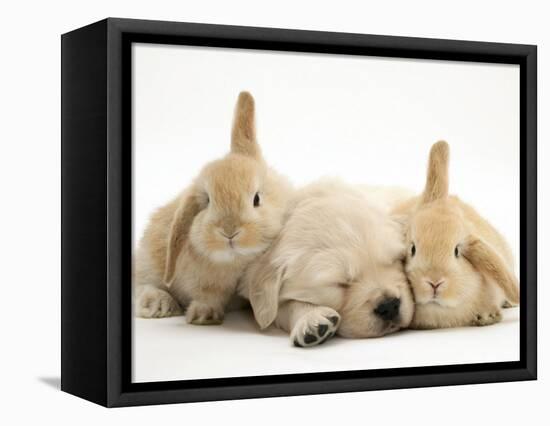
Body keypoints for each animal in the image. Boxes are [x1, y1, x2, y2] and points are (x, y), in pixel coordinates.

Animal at [134, 91, 296, 324]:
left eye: (256, 199)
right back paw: (157, 304)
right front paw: (204, 315)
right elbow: (209, 295)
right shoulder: (204, 282)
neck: (236, 262)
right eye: (208, 201)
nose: (229, 231)